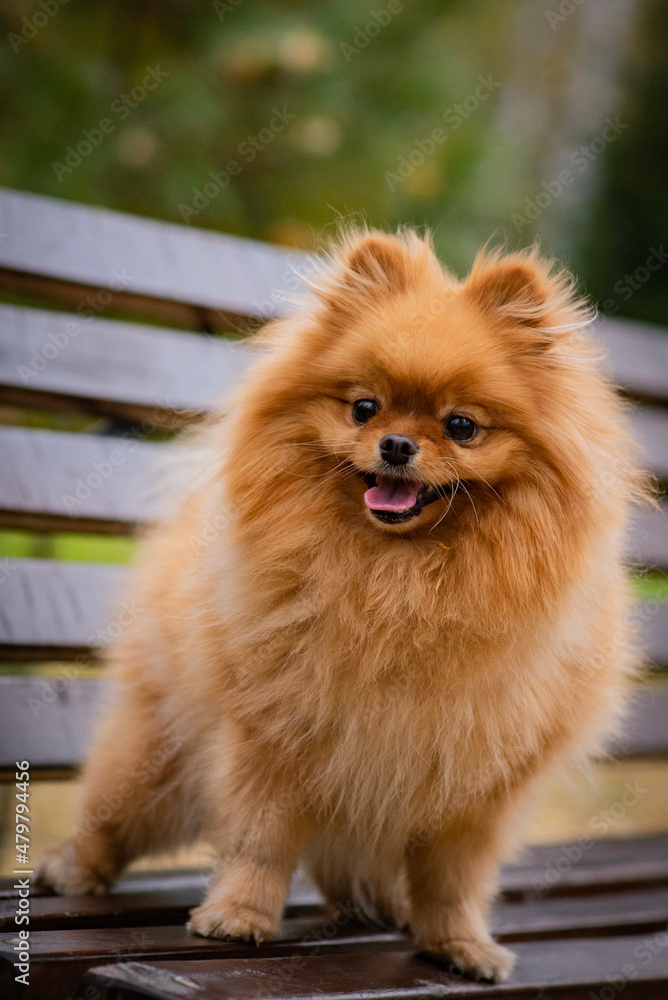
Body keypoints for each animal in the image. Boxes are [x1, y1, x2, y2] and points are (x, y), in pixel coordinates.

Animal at [36, 230, 648, 980]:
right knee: (112, 814)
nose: (396, 443)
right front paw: (238, 917)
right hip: (155, 757)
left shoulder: (480, 782)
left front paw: (459, 943)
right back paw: (75, 870)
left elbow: (455, 877)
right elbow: (260, 839)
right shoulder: (272, 734)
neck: (400, 578)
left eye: (462, 426)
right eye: (364, 408)